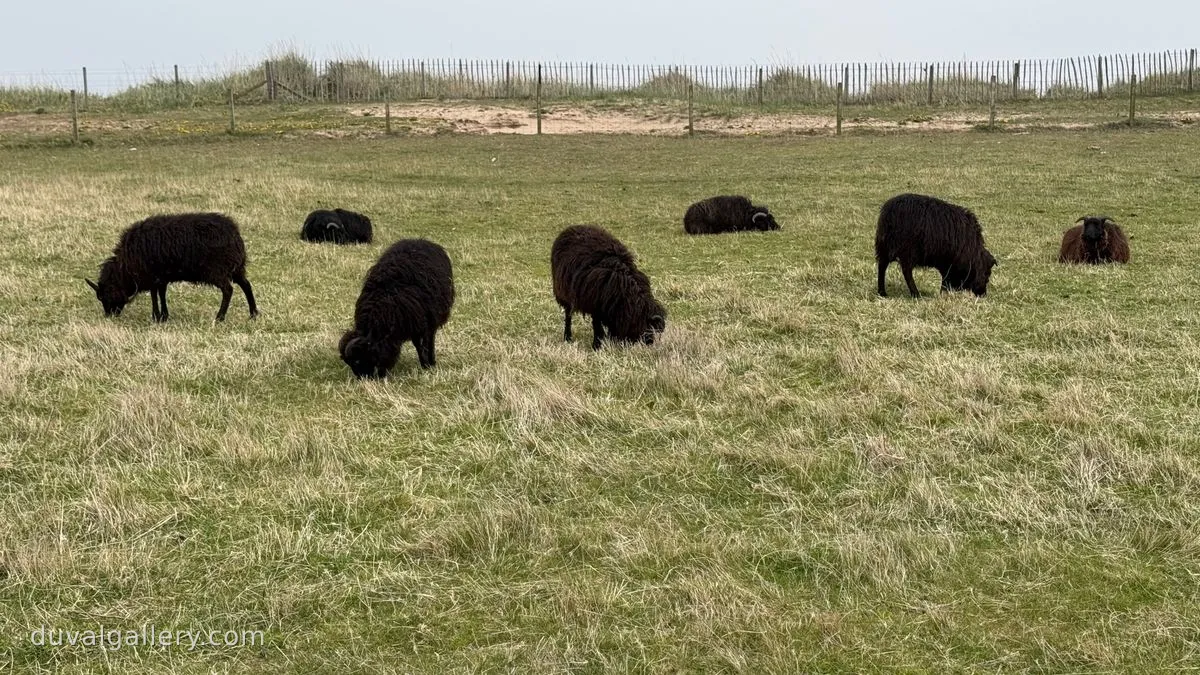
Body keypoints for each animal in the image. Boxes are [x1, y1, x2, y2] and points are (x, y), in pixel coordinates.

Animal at [86, 212, 258, 322]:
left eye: (106, 297)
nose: (109, 316)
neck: (125, 267)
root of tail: (234, 233)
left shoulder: (152, 276)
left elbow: (154, 294)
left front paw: (156, 317)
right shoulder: (162, 277)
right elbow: (162, 293)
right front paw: (164, 316)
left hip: (217, 270)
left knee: (228, 290)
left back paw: (220, 317)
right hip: (236, 267)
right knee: (246, 285)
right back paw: (253, 314)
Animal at [339, 239, 454, 378]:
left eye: (357, 360)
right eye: (349, 362)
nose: (363, 378)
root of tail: (419, 240)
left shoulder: (421, 323)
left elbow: (422, 344)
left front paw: (426, 365)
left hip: (433, 317)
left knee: (431, 338)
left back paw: (431, 361)